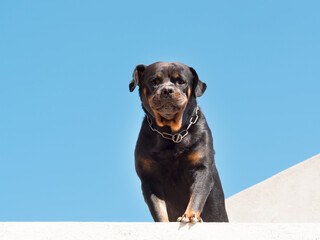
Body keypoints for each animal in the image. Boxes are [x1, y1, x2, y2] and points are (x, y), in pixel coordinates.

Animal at [129, 62, 229, 223]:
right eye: (154, 81)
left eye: (181, 81)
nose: (167, 89)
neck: (171, 134)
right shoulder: (149, 179)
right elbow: (158, 208)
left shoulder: (201, 168)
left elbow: (197, 195)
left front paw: (190, 216)